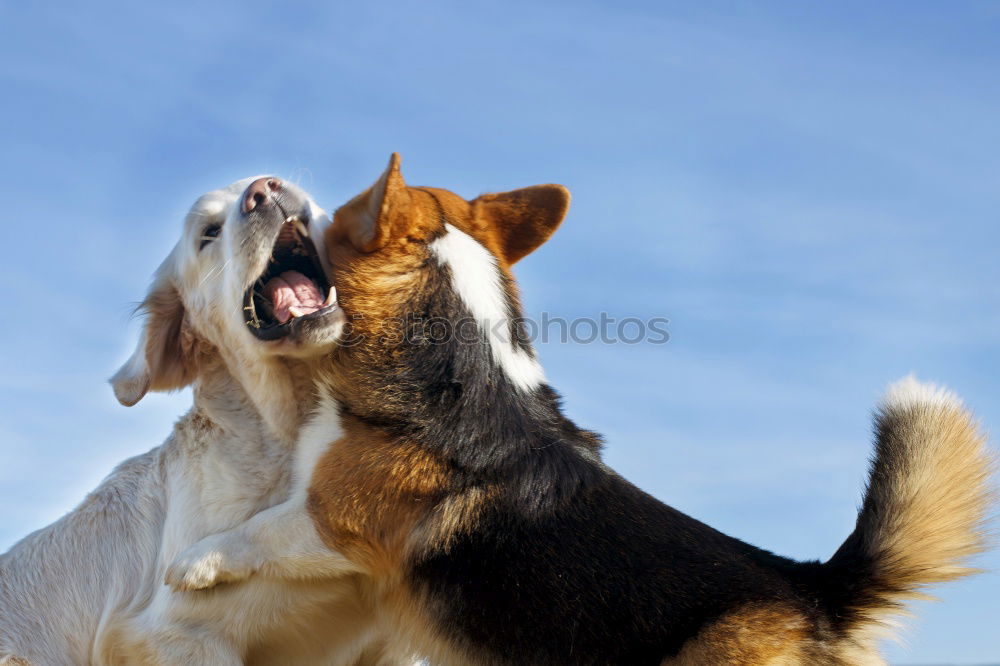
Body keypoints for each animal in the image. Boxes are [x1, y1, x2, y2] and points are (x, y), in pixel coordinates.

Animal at [170, 154, 992, 664]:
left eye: (334, 214)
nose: (273, 190)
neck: (459, 375)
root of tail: (816, 590)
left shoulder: (335, 518)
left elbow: (256, 534)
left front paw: (193, 564)